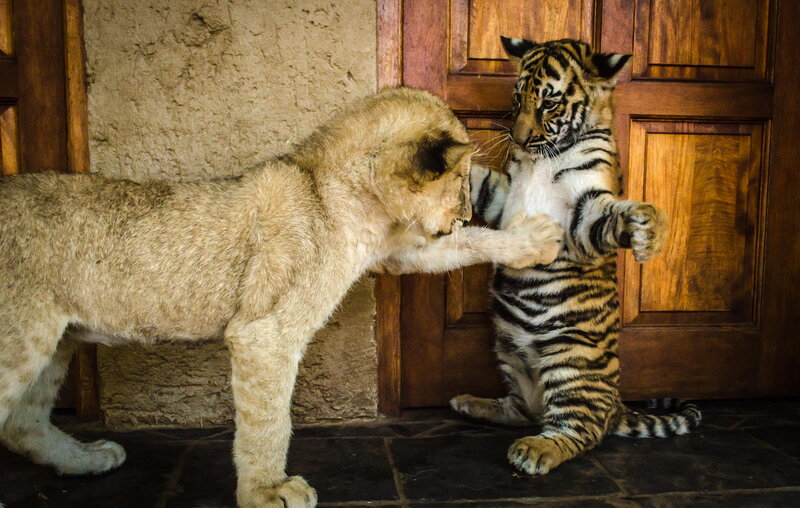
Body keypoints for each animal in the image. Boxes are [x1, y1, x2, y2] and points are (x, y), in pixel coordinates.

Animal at [0, 87, 562, 507]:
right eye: (462, 181)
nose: (464, 214)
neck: (340, 194)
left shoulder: (394, 251)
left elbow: (464, 248)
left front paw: (536, 241)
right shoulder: (264, 334)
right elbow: (267, 421)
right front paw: (266, 491)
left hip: (58, 339)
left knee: (23, 424)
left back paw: (87, 460)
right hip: (23, 336)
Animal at [450, 37, 701, 476]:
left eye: (549, 104)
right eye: (518, 97)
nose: (517, 138)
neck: (542, 156)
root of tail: (617, 407)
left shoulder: (583, 215)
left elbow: (610, 219)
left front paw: (648, 232)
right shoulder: (503, 197)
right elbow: (482, 181)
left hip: (571, 359)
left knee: (579, 430)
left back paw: (535, 451)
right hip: (508, 352)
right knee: (523, 411)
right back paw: (470, 403)